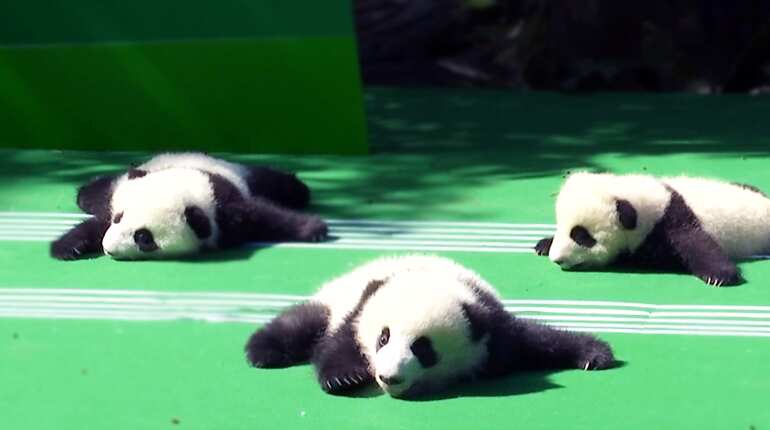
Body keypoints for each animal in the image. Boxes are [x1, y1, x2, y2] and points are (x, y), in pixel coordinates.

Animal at [51, 152, 328, 260]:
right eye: (118, 218)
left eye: (144, 238)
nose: (108, 248)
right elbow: (95, 225)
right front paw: (67, 248)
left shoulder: (226, 208)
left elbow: (266, 215)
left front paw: (314, 229)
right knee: (100, 192)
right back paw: (85, 193)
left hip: (245, 175)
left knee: (276, 183)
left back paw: (299, 189)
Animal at [245, 255, 615, 398]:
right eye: (383, 338)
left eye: (424, 349)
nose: (389, 377)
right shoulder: (360, 310)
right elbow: (338, 345)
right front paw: (343, 378)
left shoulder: (491, 327)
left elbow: (536, 341)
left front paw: (593, 354)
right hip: (334, 298)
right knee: (301, 323)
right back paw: (263, 351)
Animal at [535, 171, 770, 286]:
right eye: (561, 228)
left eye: (582, 236)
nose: (557, 259)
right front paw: (544, 244)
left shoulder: (669, 219)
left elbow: (697, 243)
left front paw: (721, 275)